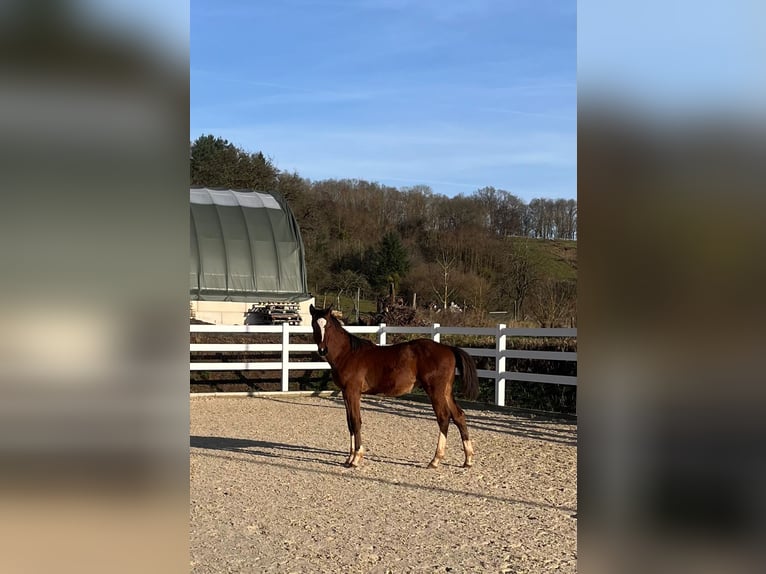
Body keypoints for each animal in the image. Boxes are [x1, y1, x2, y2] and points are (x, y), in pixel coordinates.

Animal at [309, 304, 478, 469]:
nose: (322, 350)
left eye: (328, 325)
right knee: (458, 416)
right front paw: (349, 458)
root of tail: (448, 348)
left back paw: (435, 460)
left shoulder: (353, 392)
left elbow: (356, 421)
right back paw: (468, 460)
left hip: (435, 391)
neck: (348, 354)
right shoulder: (345, 393)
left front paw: (356, 458)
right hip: (446, 391)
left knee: (443, 417)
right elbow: (350, 422)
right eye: (314, 325)